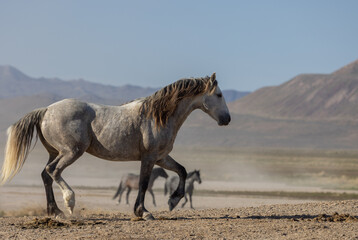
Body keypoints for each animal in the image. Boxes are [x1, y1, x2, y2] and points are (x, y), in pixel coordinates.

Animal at [0, 72, 231, 219]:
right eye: (219, 95)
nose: (227, 119)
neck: (158, 116)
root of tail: (46, 110)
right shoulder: (149, 157)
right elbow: (143, 184)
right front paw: (143, 212)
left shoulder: (161, 157)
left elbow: (182, 170)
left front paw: (173, 201)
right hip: (71, 151)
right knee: (53, 171)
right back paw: (69, 204)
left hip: (55, 151)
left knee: (46, 175)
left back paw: (55, 211)